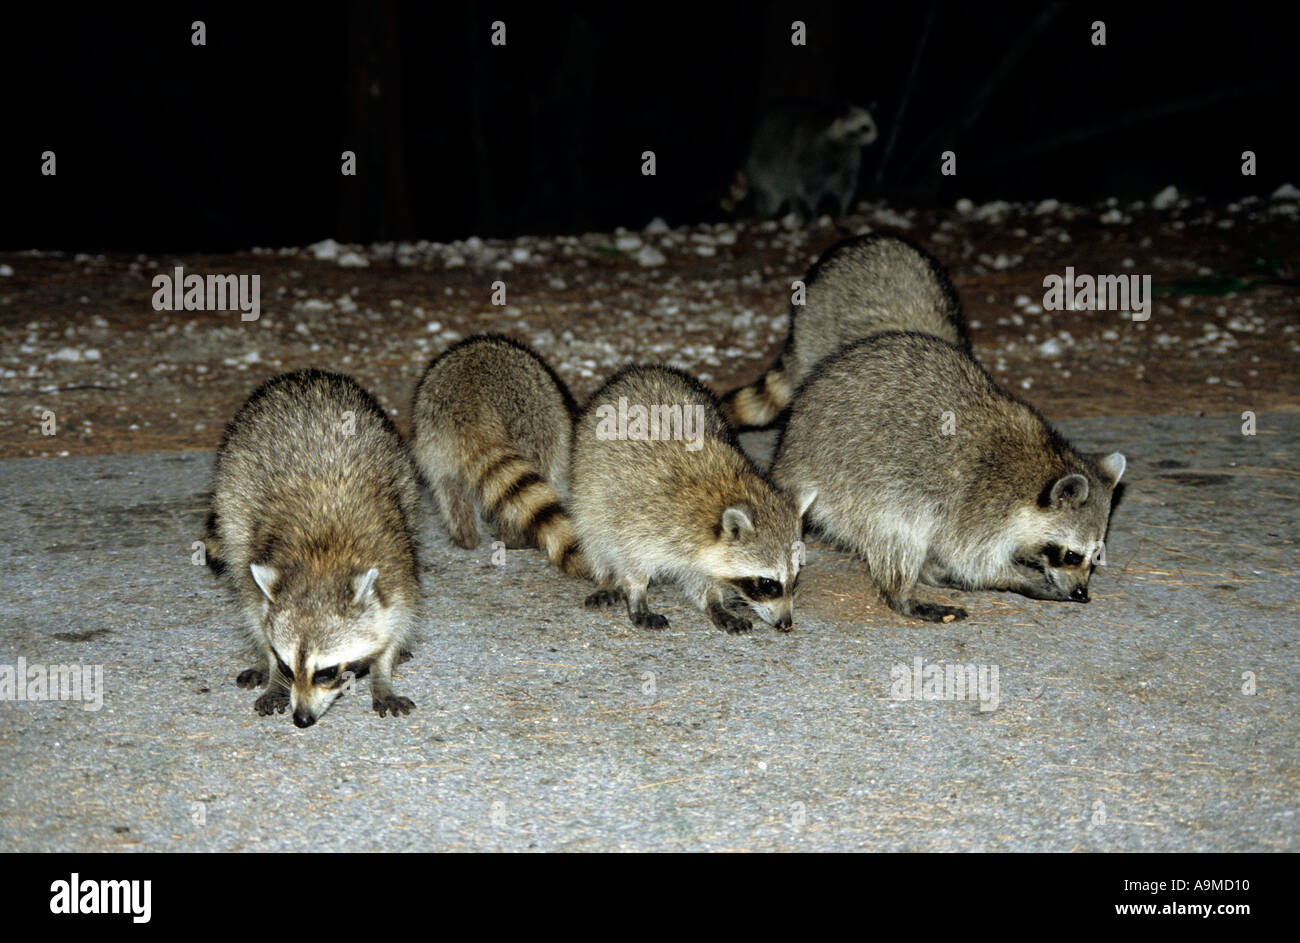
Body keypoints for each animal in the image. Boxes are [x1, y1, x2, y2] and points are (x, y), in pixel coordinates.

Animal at [205, 369, 421, 727]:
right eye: (288, 666)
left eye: (326, 672)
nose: (302, 719)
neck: (322, 556)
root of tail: (303, 375)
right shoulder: (256, 551)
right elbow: (255, 611)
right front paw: (271, 671)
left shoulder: (396, 564)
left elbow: (398, 618)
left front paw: (382, 671)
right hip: (232, 489)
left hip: (402, 476)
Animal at [410, 333, 585, 578]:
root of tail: (469, 398)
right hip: (532, 421)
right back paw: (514, 538)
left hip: (432, 442)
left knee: (449, 489)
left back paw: (466, 536)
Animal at [569, 364, 814, 633]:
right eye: (768, 583)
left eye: (795, 577)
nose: (786, 623)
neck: (731, 490)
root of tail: (643, 369)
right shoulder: (641, 519)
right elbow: (630, 559)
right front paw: (636, 595)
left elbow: (701, 578)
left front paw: (716, 601)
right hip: (589, 485)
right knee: (593, 532)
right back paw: (604, 577)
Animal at [721, 101, 878, 219]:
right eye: (865, 128)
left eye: (874, 125)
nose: (876, 138)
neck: (844, 144)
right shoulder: (812, 158)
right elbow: (811, 188)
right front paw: (813, 211)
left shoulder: (848, 161)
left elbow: (846, 186)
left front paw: (843, 209)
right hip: (765, 166)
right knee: (771, 191)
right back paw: (769, 211)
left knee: (789, 192)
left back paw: (794, 209)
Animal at [770, 332, 1126, 623]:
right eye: (1071, 555)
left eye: (1096, 555)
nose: (1081, 591)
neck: (1041, 466)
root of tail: (789, 454)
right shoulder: (982, 503)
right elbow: (971, 559)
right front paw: (1019, 580)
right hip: (859, 484)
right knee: (901, 534)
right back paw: (904, 595)